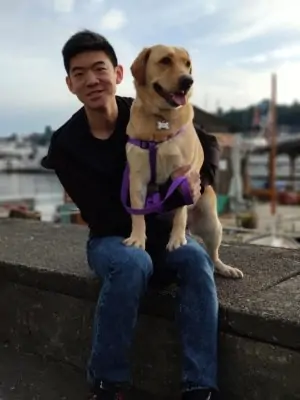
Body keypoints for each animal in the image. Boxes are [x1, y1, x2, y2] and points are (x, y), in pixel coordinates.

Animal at [122, 44, 244, 278]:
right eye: (165, 60)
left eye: (187, 64)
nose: (188, 81)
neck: (161, 121)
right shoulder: (137, 179)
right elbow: (137, 215)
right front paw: (137, 238)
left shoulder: (182, 174)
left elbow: (180, 210)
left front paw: (176, 239)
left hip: (213, 224)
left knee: (213, 256)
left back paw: (226, 268)